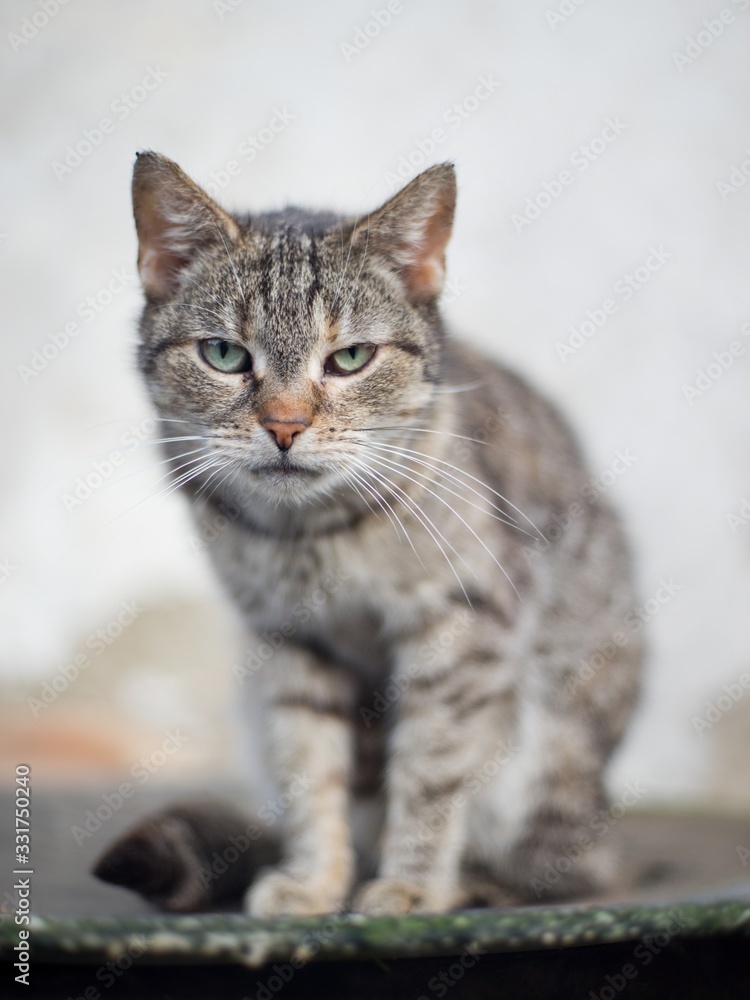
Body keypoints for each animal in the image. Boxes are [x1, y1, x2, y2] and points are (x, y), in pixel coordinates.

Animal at [95, 152, 648, 916]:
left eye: (351, 358)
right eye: (224, 355)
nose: (285, 426)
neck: (312, 538)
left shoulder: (462, 629)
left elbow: (431, 773)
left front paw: (412, 885)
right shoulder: (290, 643)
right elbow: (309, 772)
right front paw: (316, 880)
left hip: (550, 751)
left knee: (565, 872)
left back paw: (475, 883)